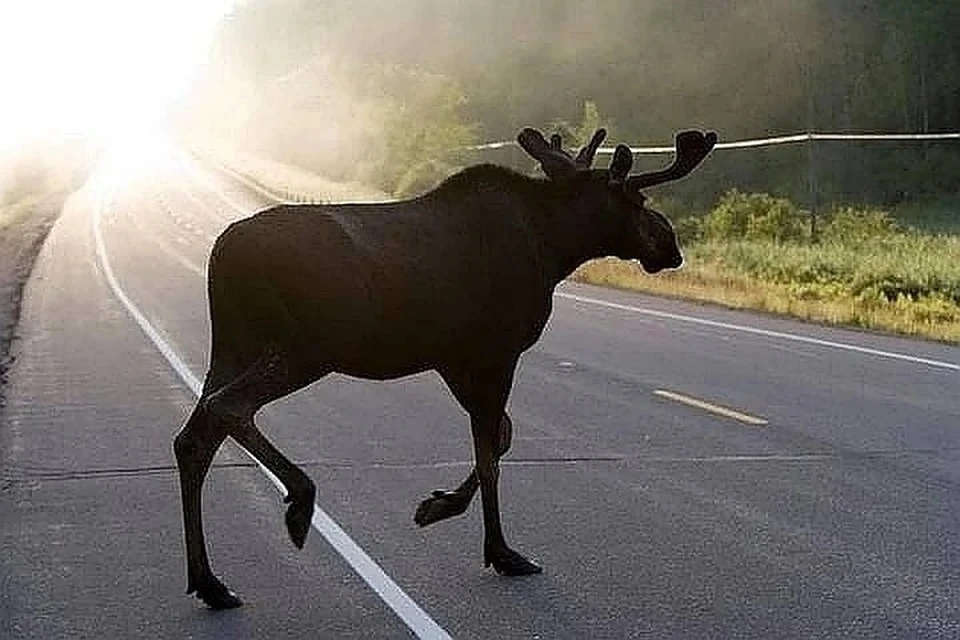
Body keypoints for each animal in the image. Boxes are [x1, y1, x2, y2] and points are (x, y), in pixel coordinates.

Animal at [172, 126, 716, 608]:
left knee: (193, 438)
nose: (670, 245)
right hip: (304, 346)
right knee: (226, 408)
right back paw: (299, 503)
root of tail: (221, 254)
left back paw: (210, 583)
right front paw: (500, 551)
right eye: (638, 202)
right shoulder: (495, 351)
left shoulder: (455, 359)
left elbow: (502, 437)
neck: (555, 247)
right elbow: (491, 452)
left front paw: (437, 506)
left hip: (235, 344)